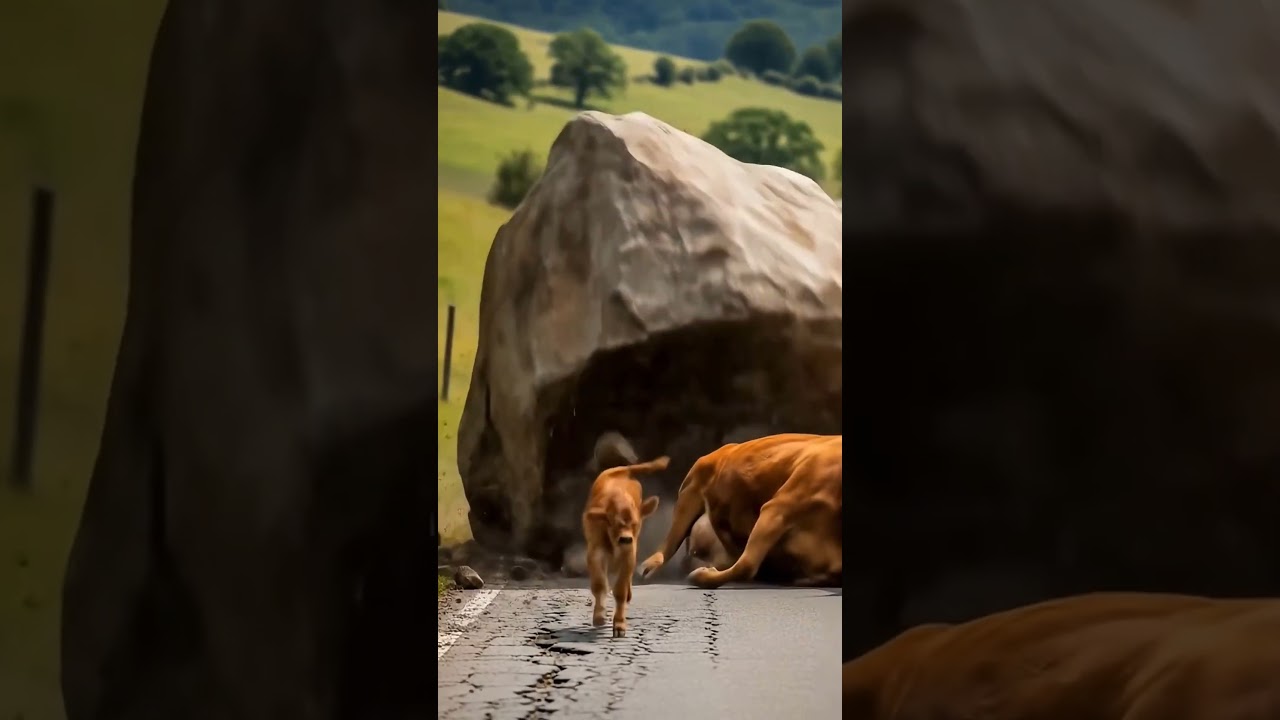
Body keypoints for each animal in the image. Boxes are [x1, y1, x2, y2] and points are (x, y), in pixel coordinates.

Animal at [581, 455, 667, 637]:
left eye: (635, 523)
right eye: (613, 523)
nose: (626, 539)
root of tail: (623, 469)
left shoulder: (629, 553)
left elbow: (620, 590)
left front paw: (619, 625)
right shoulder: (595, 552)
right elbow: (599, 585)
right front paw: (599, 617)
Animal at [639, 433, 842, 589]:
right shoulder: (778, 507)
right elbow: (747, 565)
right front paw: (700, 576)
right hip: (691, 488)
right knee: (669, 543)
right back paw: (647, 568)